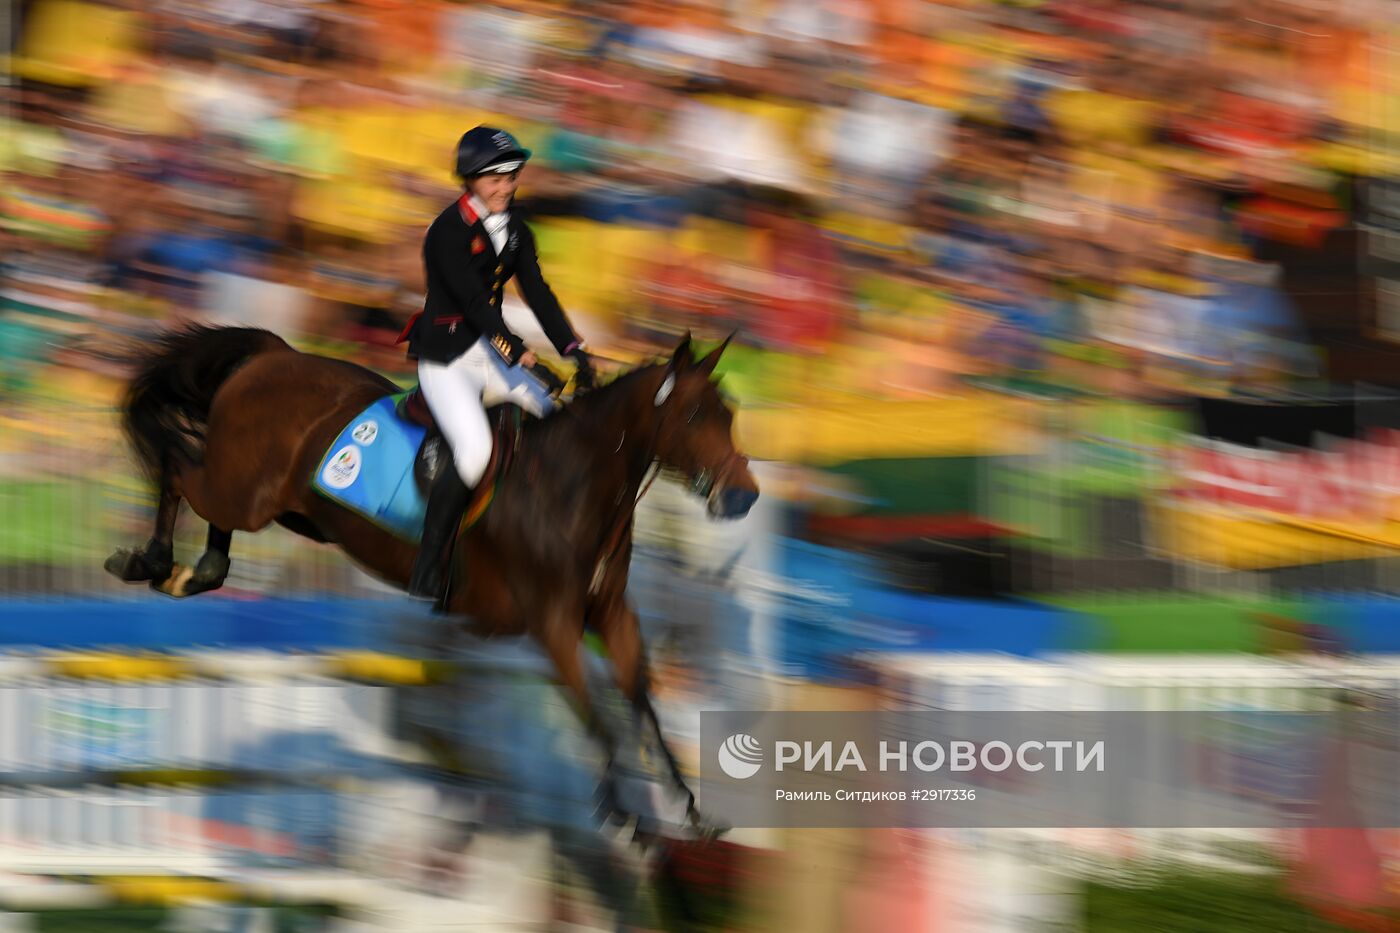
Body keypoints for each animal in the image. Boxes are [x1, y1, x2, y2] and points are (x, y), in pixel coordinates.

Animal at [103, 325, 761, 829]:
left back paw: (197, 572)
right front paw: (623, 814)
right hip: (241, 489)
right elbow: (599, 718)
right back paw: (150, 562)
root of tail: (273, 352)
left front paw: (687, 807)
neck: (573, 486)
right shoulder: (553, 627)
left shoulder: (612, 617)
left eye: (729, 414)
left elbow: (642, 704)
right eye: (694, 414)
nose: (744, 497)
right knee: (177, 468)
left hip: (273, 503)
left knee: (210, 518)